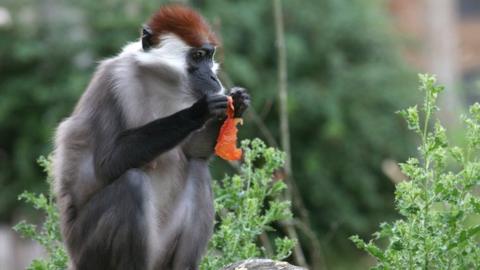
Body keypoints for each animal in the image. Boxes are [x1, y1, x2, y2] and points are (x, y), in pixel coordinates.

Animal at [53, 4, 251, 270]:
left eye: (209, 57)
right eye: (197, 56)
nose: (213, 77)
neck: (160, 81)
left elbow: (193, 152)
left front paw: (238, 102)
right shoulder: (113, 80)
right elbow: (105, 164)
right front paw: (199, 111)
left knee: (198, 169)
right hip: (89, 252)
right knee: (132, 183)